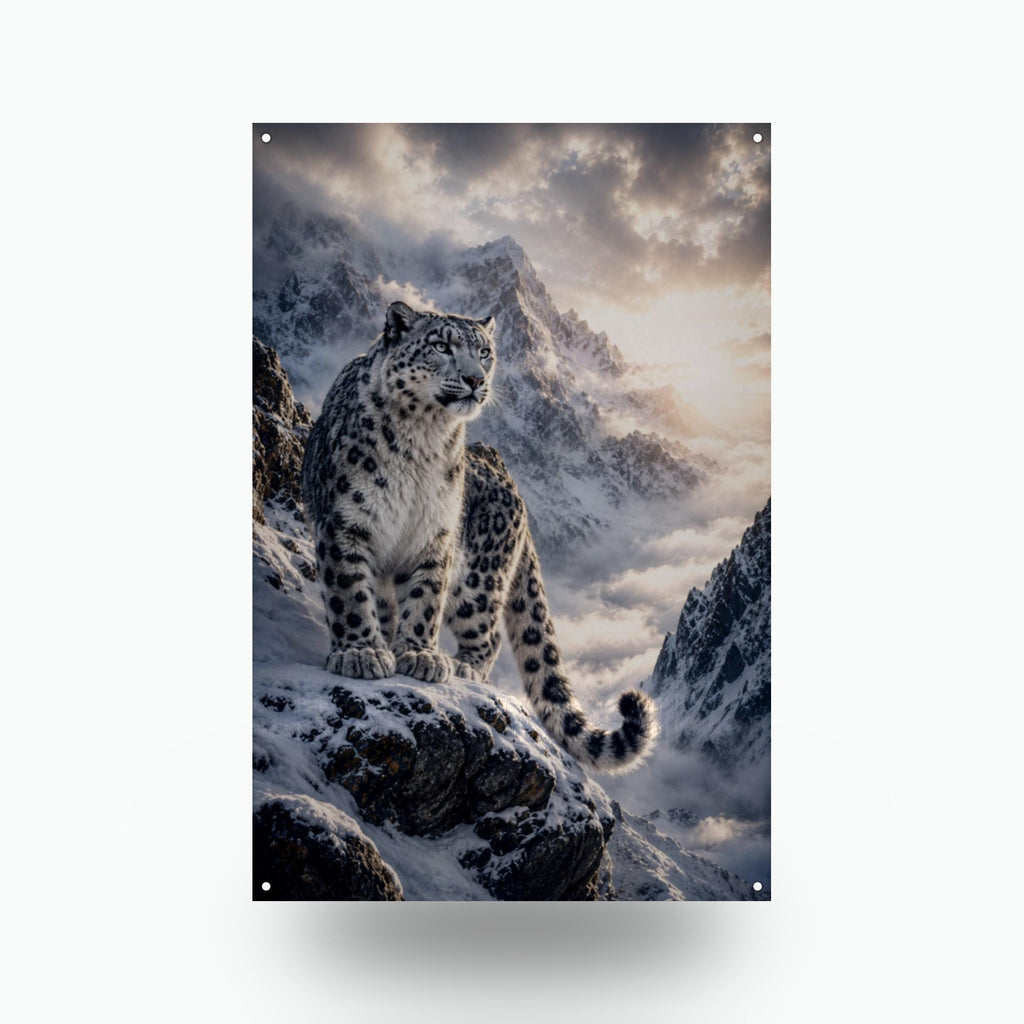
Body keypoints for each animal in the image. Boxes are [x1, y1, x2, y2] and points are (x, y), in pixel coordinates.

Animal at [300, 300, 658, 772]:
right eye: (441, 346)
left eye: (485, 352)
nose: (475, 379)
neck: (422, 439)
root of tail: (513, 486)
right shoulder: (346, 522)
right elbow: (349, 593)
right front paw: (362, 652)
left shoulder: (435, 535)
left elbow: (425, 599)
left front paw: (419, 655)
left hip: (477, 583)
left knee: (488, 636)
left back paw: (463, 666)